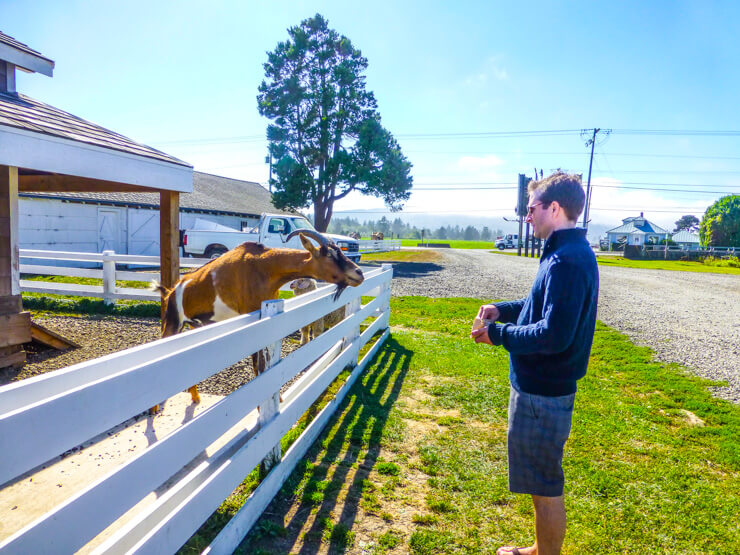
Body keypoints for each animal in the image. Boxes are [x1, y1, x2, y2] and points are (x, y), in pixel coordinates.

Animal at [152, 230, 366, 412]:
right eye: (328, 254)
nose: (359, 273)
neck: (264, 267)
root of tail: (171, 292)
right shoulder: (253, 321)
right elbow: (258, 362)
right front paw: (260, 406)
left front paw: (278, 399)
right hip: (173, 323)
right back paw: (154, 408)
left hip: (193, 325)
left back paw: (195, 397)